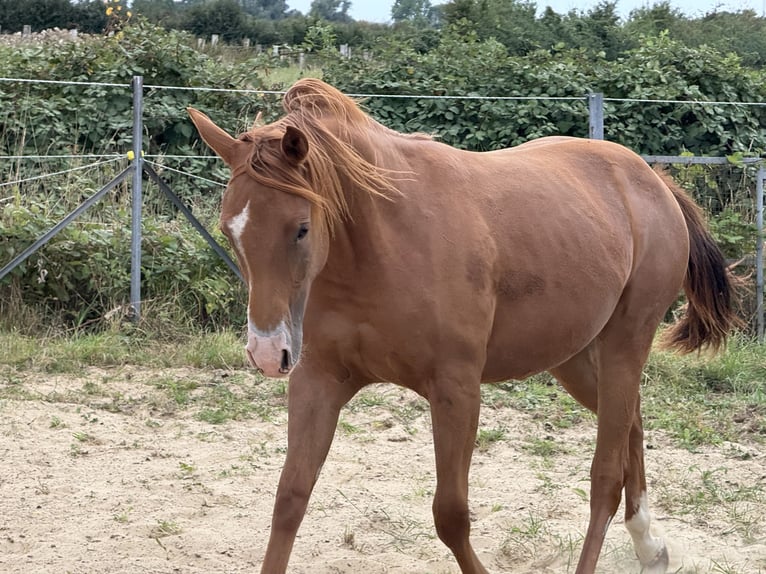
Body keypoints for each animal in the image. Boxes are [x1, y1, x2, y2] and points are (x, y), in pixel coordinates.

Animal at [187, 78, 737, 574]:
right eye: (228, 230)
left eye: (301, 228)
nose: (265, 353)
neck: (380, 244)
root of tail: (649, 178)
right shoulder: (318, 381)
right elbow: (290, 499)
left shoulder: (456, 390)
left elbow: (450, 516)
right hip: (576, 359)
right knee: (632, 428)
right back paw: (651, 549)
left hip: (626, 343)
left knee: (605, 477)